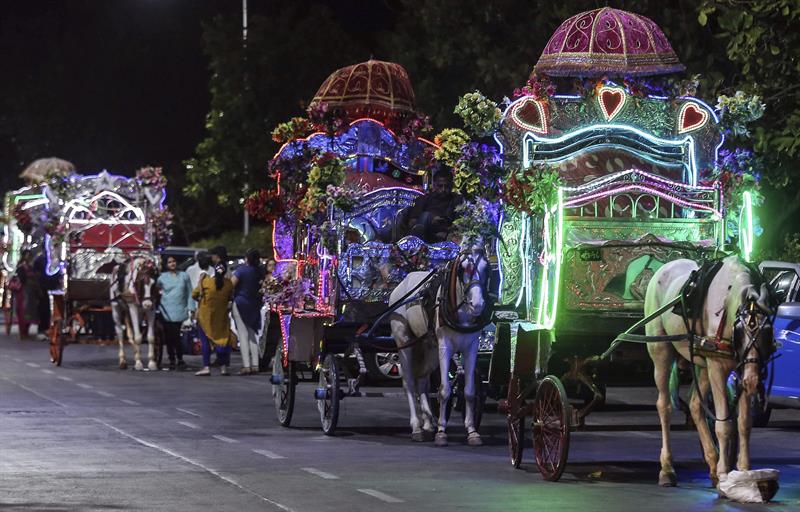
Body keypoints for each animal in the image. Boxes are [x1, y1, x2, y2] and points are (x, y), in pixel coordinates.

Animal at [390, 244, 490, 444]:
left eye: (486, 267)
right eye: (463, 269)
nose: (477, 304)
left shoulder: (471, 347)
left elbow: (469, 391)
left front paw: (472, 431)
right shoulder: (445, 346)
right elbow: (444, 390)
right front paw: (442, 432)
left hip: (428, 347)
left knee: (422, 382)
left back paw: (428, 422)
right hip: (404, 341)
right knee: (409, 383)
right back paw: (416, 427)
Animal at [644, 256, 776, 488]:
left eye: (767, 332)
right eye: (740, 332)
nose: (753, 381)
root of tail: (666, 266)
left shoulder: (740, 369)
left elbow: (744, 424)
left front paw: (743, 469)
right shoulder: (717, 367)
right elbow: (724, 426)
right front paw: (724, 472)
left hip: (702, 365)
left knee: (696, 405)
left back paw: (712, 462)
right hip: (660, 349)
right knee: (664, 406)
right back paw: (667, 468)